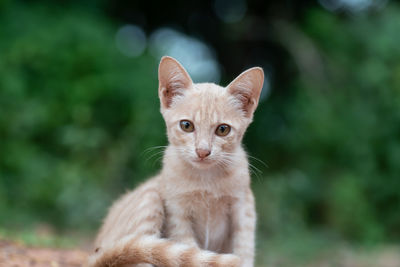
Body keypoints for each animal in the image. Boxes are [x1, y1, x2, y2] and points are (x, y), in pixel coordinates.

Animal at [87, 56, 262, 267]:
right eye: (186, 126)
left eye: (223, 129)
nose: (202, 151)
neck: (207, 180)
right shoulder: (177, 213)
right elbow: (188, 252)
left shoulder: (244, 208)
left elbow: (244, 249)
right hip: (150, 198)